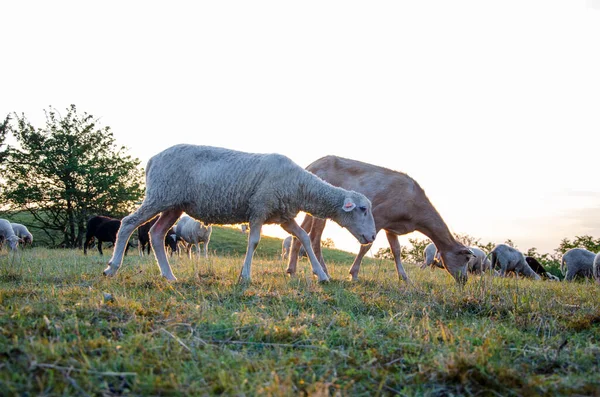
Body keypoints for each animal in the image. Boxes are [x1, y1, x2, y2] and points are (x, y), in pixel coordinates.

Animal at [103, 143, 376, 282]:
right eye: (363, 209)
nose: (372, 236)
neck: (299, 185)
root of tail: (152, 160)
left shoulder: (283, 216)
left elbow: (304, 238)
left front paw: (321, 275)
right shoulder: (259, 208)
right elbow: (253, 241)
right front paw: (245, 276)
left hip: (174, 204)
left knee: (157, 234)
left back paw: (169, 276)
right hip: (160, 195)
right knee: (128, 223)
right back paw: (112, 267)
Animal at [286, 155, 474, 284]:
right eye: (466, 258)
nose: (465, 280)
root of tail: (311, 165)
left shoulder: (392, 227)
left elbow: (396, 250)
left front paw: (405, 277)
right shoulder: (379, 216)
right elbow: (366, 246)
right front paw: (353, 273)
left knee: (300, 233)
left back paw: (292, 270)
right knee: (315, 237)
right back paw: (324, 271)